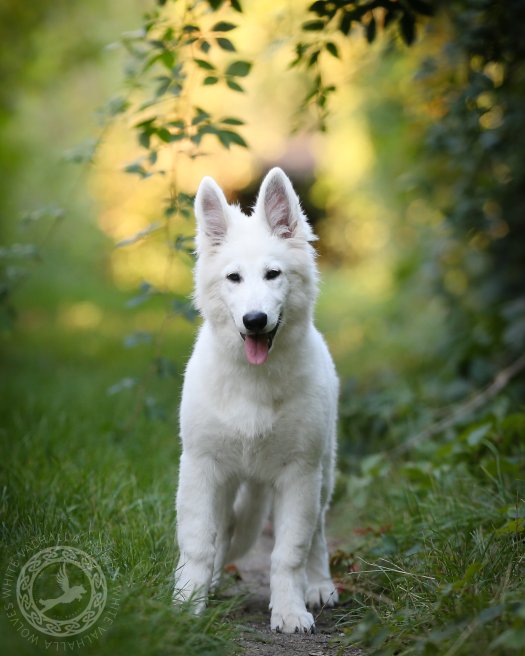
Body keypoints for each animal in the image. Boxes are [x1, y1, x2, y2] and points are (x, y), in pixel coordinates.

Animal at [174, 167, 338, 632]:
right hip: (232, 481)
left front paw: (290, 610)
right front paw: (186, 602)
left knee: (318, 532)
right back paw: (211, 583)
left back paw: (320, 585)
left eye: (273, 274)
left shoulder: (299, 474)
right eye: (234, 278)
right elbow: (199, 541)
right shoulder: (202, 466)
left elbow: (289, 553)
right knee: (225, 529)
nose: (254, 320)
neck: (253, 381)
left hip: (323, 471)